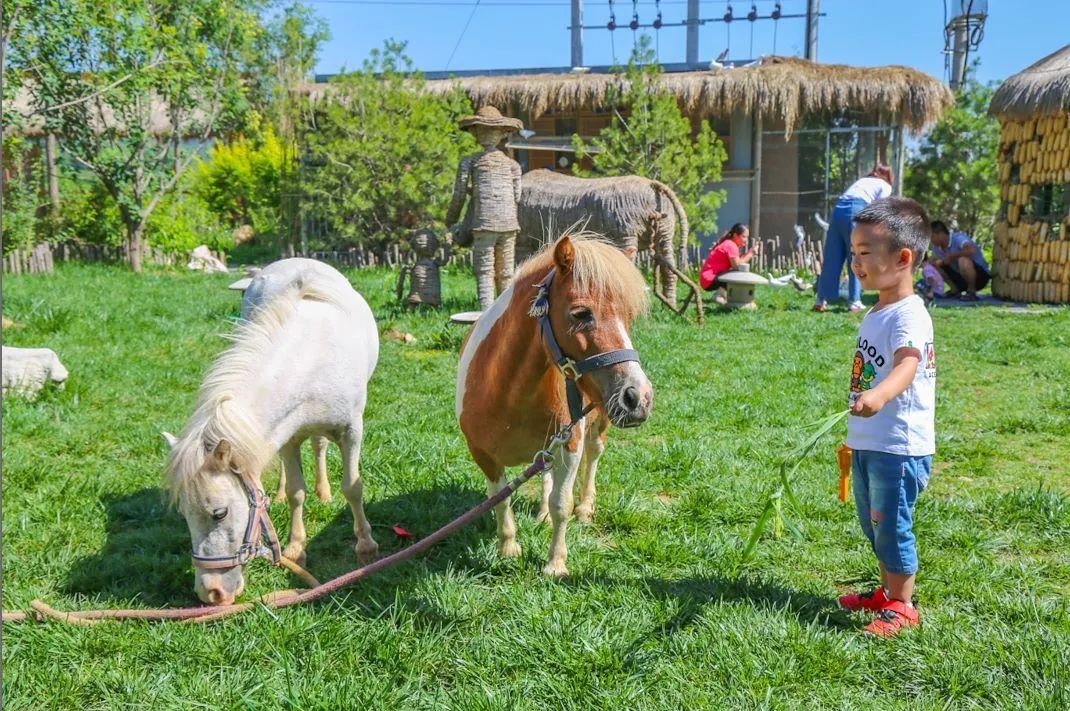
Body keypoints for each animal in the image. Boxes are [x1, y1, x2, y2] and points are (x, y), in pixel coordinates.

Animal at [162, 258, 380, 603]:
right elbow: (295, 491)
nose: (210, 593)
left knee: (319, 446)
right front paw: (295, 548)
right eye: (183, 514)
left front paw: (366, 545)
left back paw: (324, 491)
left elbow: (352, 487)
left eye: (220, 513)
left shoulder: (351, 431)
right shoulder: (287, 436)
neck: (310, 358)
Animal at [453, 234, 650, 578]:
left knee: (593, 457)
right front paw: (508, 549)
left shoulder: (570, 444)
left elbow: (562, 504)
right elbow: (500, 499)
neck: (507, 395)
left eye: (629, 317)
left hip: (598, 424)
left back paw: (585, 508)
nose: (638, 397)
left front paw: (555, 563)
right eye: (581, 313)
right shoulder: (482, 454)